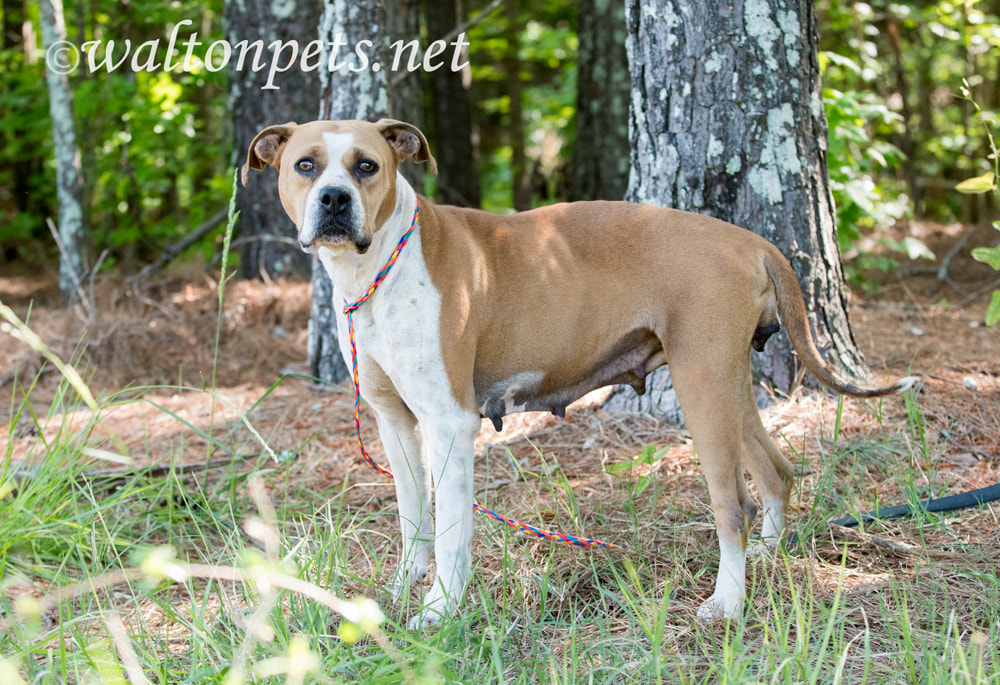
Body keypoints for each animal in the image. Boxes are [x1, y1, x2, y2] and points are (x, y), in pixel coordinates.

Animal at [240, 117, 916, 624]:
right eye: (306, 166)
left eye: (366, 166)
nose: (333, 200)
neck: (382, 265)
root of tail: (748, 240)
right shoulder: (395, 423)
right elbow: (415, 522)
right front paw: (402, 590)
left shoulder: (449, 424)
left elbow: (454, 529)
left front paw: (440, 612)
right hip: (726, 386)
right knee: (776, 472)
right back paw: (769, 564)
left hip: (701, 387)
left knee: (734, 505)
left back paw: (727, 600)